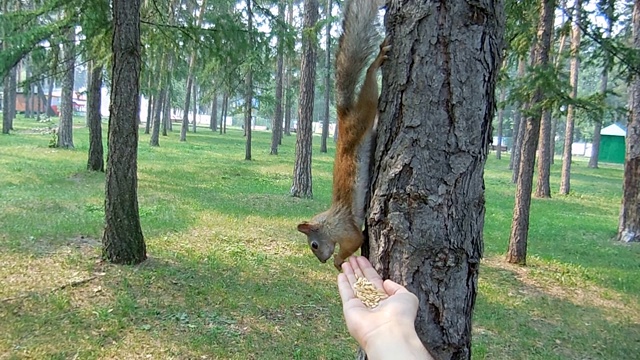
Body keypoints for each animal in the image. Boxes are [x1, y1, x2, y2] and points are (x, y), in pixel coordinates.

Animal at [296, 0, 390, 270]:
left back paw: (377, 61)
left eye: (314, 245)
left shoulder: (344, 229)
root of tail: (342, 114)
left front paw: (339, 262)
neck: (329, 222)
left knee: (369, 87)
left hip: (361, 117)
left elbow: (356, 240)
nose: (322, 261)